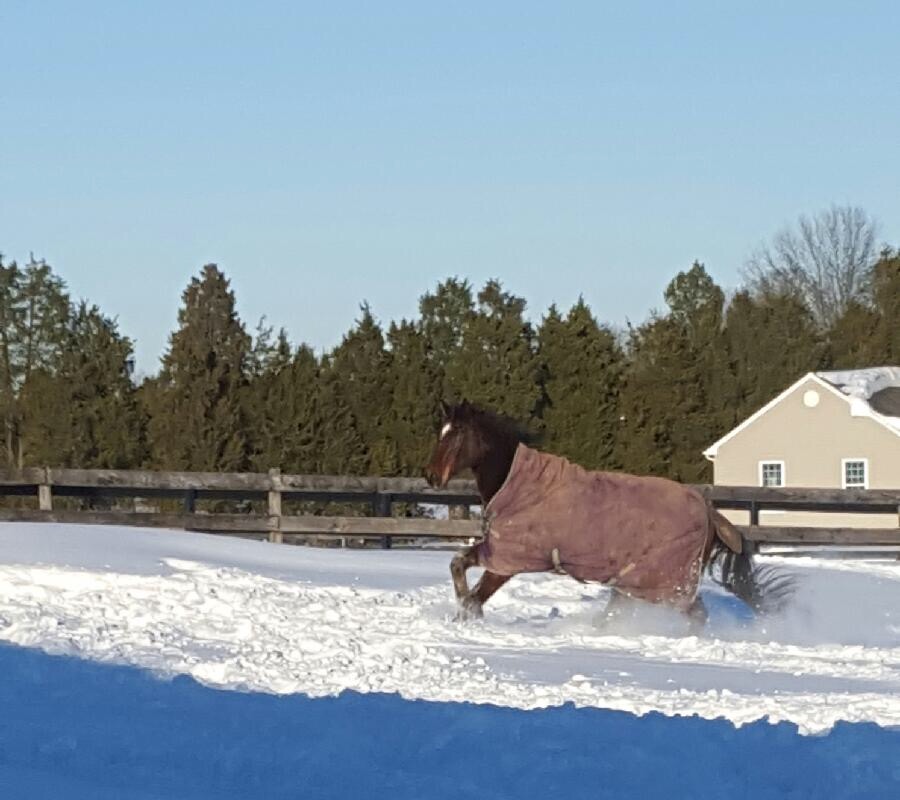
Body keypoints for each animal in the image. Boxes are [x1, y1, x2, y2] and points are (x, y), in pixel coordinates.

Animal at [422, 404, 788, 628]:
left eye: (456, 433)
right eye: (439, 431)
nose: (431, 476)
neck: (517, 483)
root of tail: (711, 512)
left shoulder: (508, 560)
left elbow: (471, 585)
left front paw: (468, 615)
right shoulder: (499, 553)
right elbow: (458, 566)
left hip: (667, 583)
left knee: (696, 614)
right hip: (635, 581)